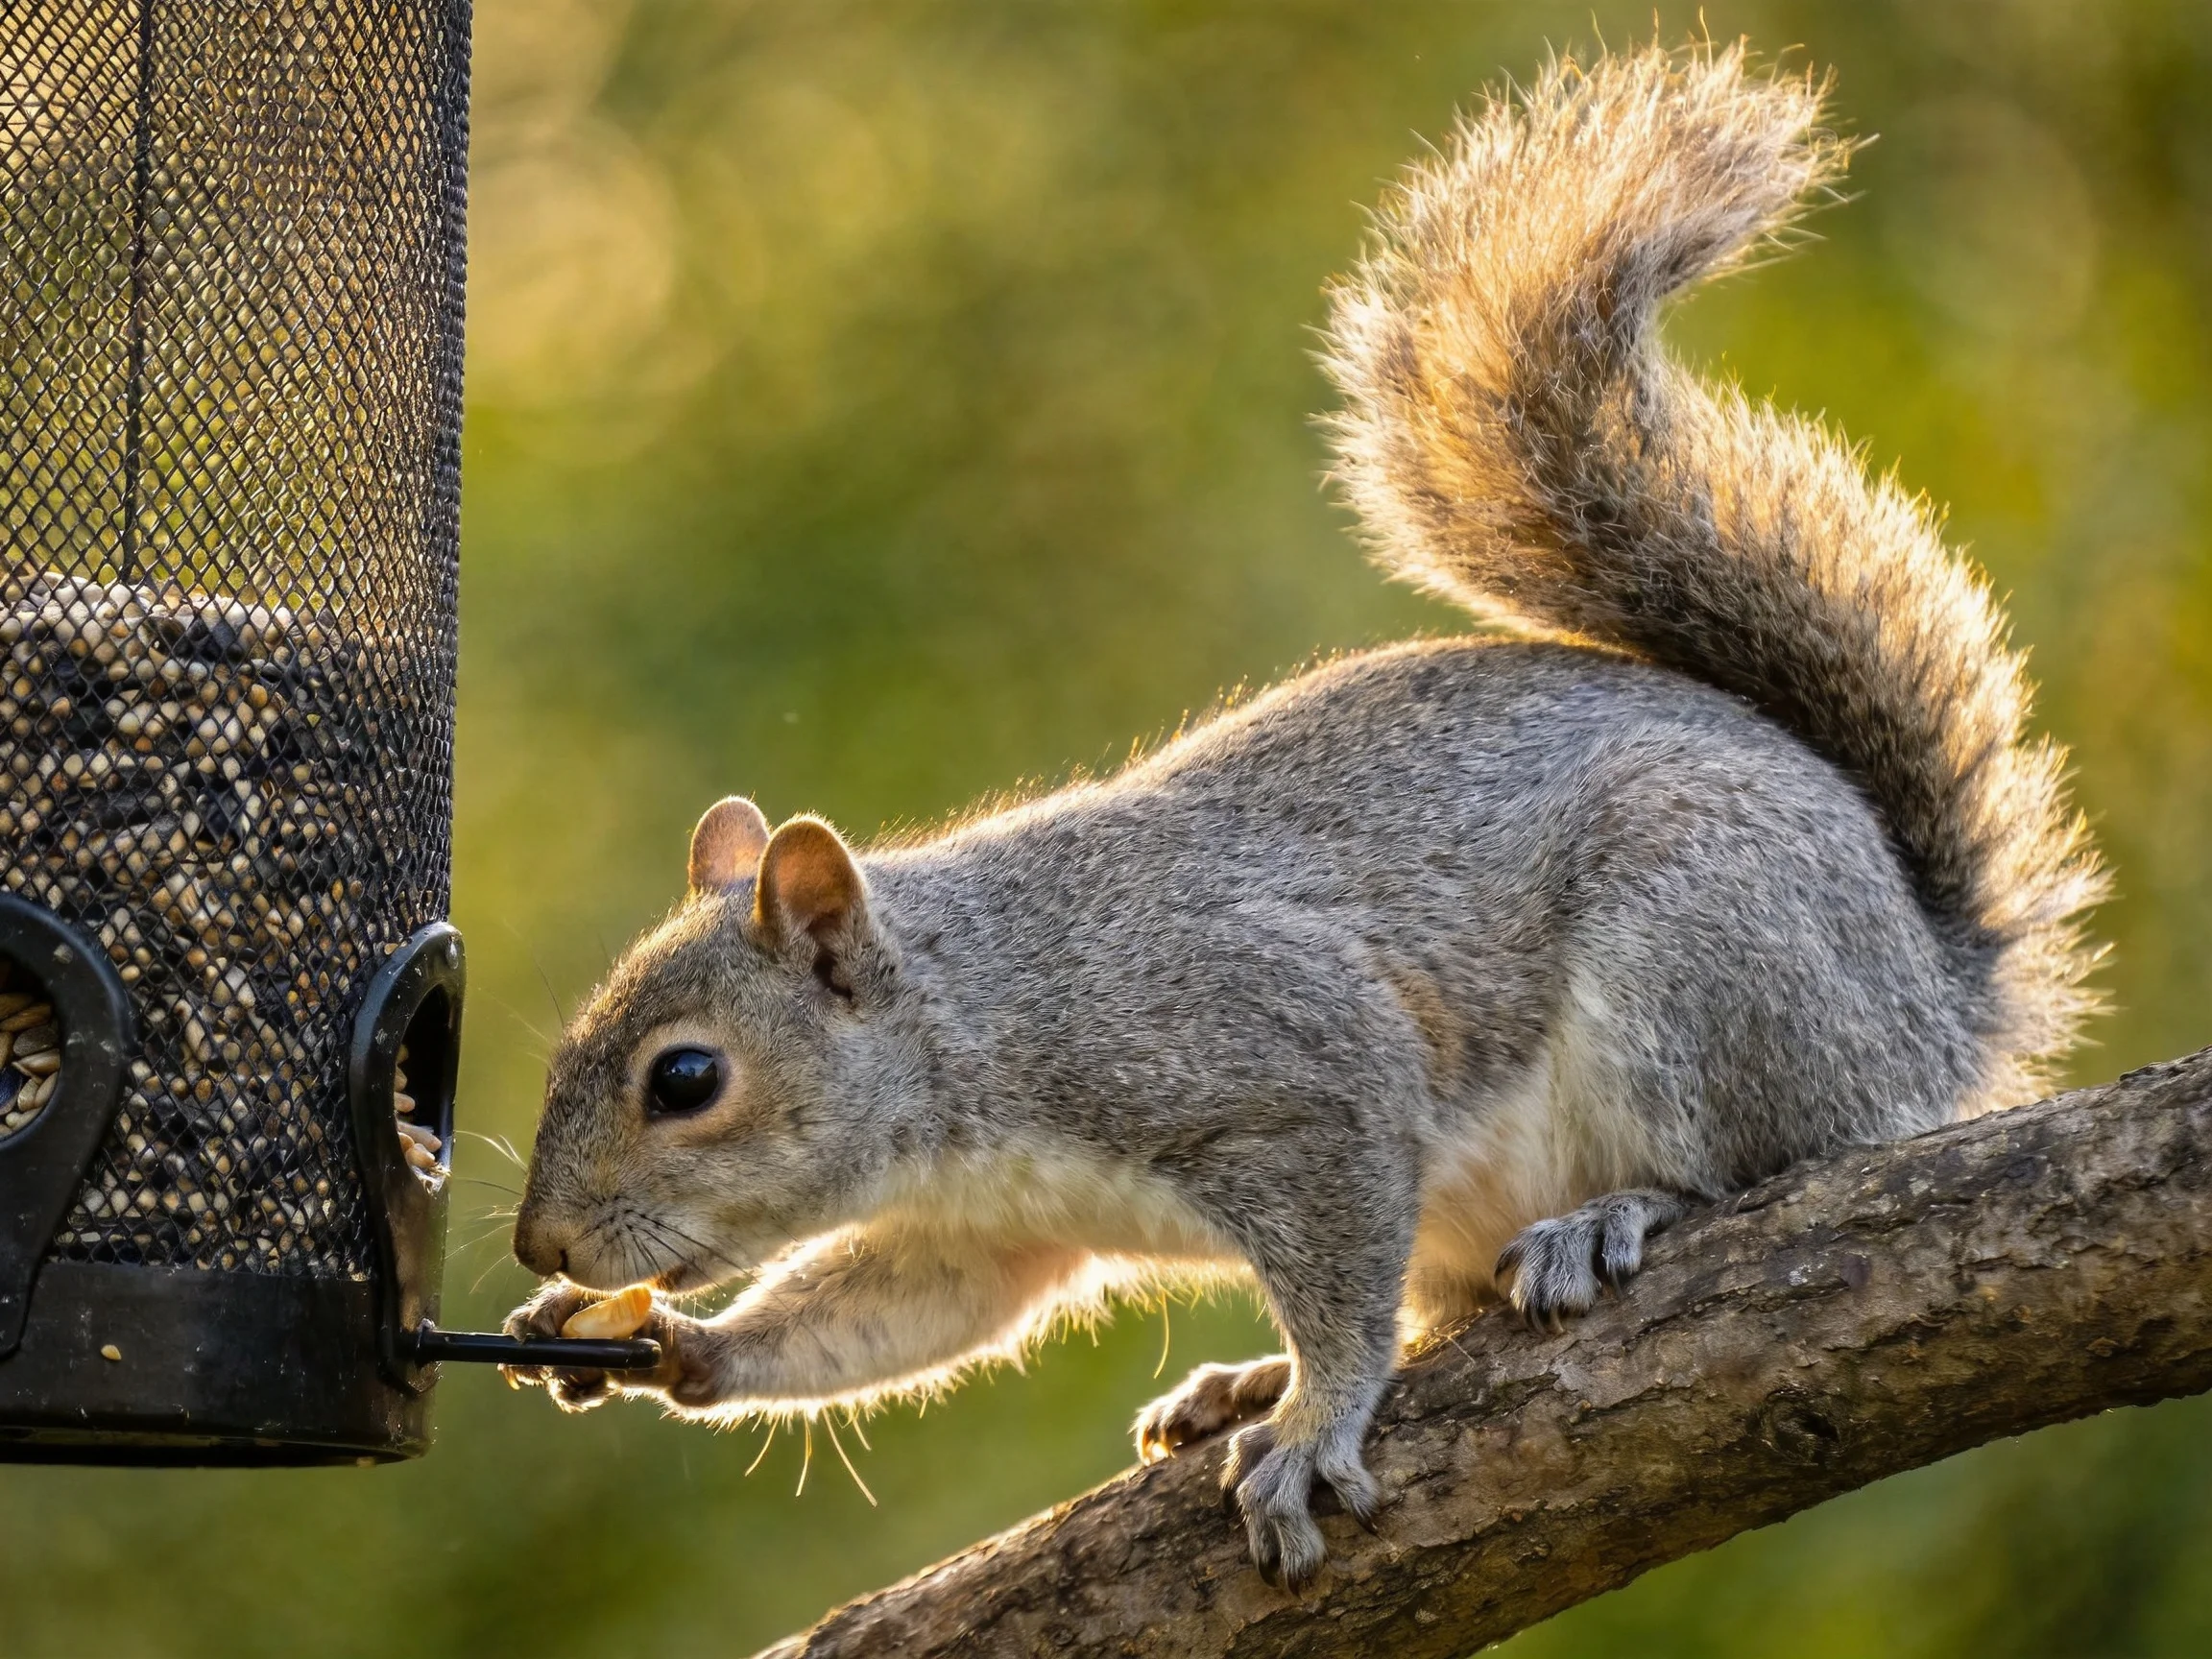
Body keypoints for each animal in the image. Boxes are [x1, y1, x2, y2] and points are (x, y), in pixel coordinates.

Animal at [501, 43, 2105, 1589]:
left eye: (686, 1080)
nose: (542, 1242)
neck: (976, 1022)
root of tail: (1927, 1001)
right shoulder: (986, 1231)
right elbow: (907, 1312)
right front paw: (685, 1348)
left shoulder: (1293, 1071)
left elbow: (1343, 1283)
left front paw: (1319, 1419)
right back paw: (1241, 1378)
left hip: (1706, 952)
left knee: (1766, 1162)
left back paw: (1611, 1220)